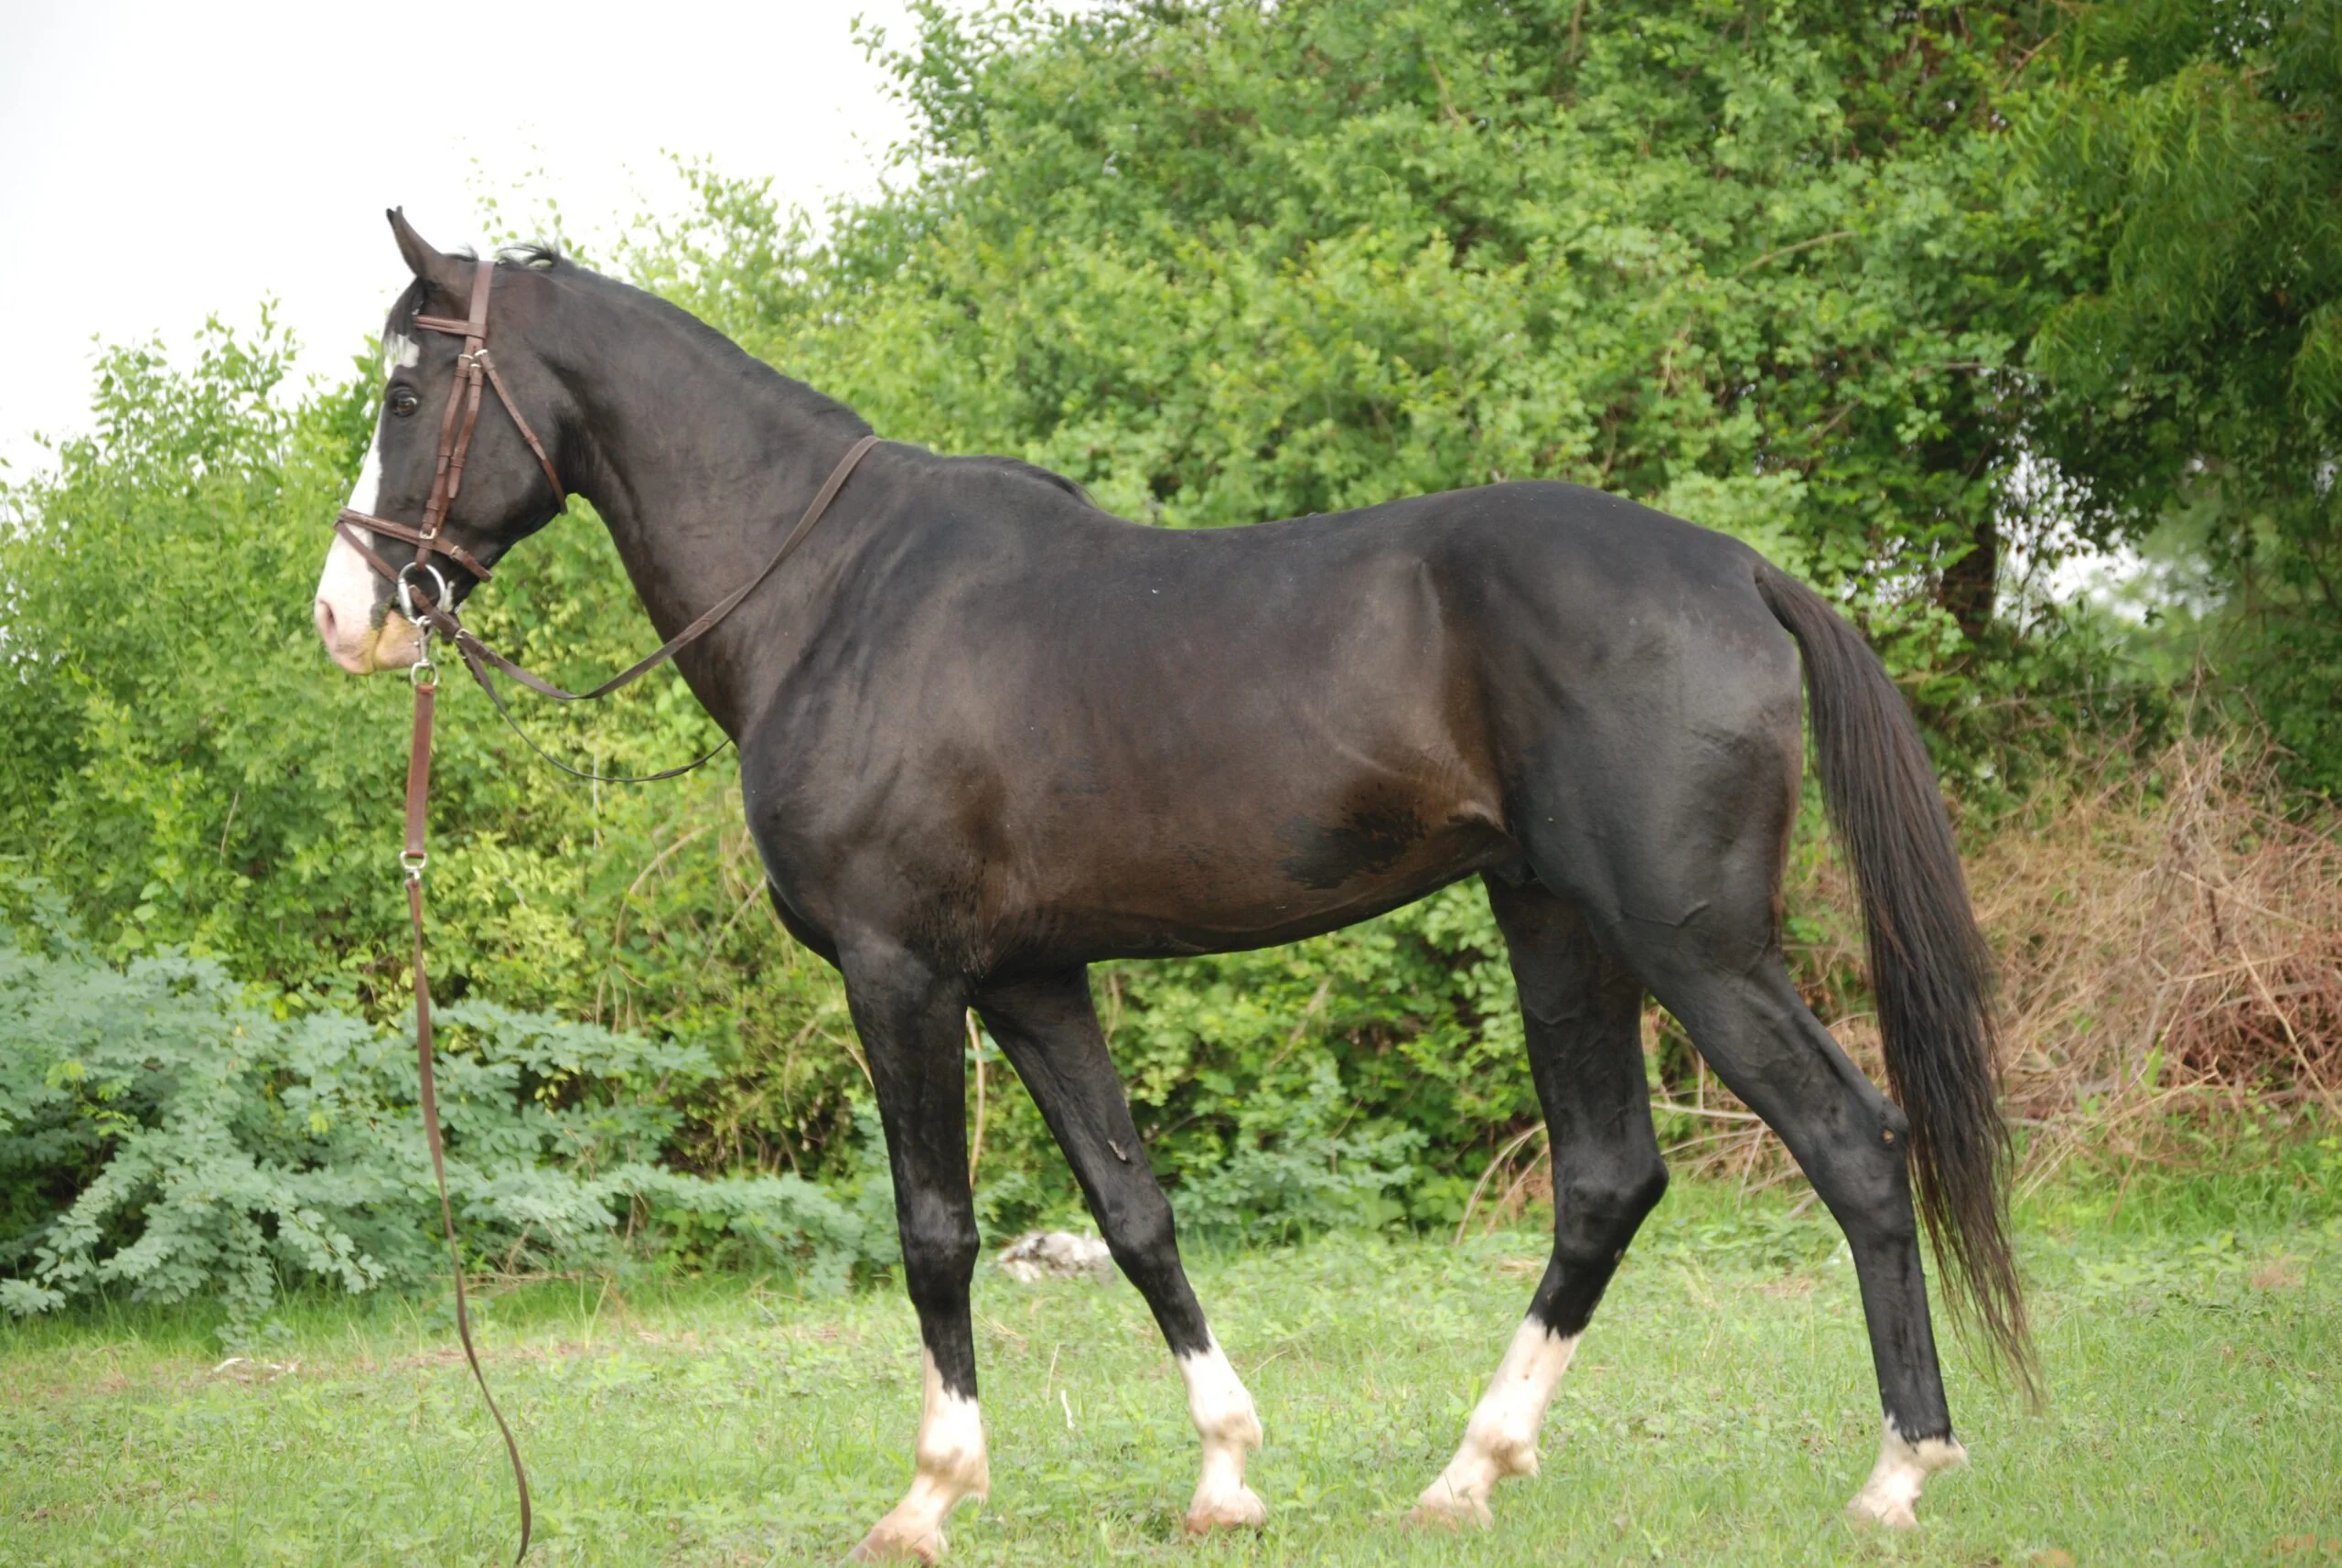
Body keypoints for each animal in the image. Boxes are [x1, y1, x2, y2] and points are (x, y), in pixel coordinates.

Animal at [314, 210, 2027, 1561]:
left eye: (406, 385)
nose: (350, 613)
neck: (835, 592)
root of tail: (1738, 570)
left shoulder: (900, 970)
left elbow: (935, 1227)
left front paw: (929, 1494)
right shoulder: (1030, 977)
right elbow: (1134, 1210)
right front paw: (1225, 1474)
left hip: (1692, 941)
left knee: (1855, 1147)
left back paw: (1899, 1475)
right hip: (1559, 923)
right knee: (1608, 1176)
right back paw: (1466, 1473)